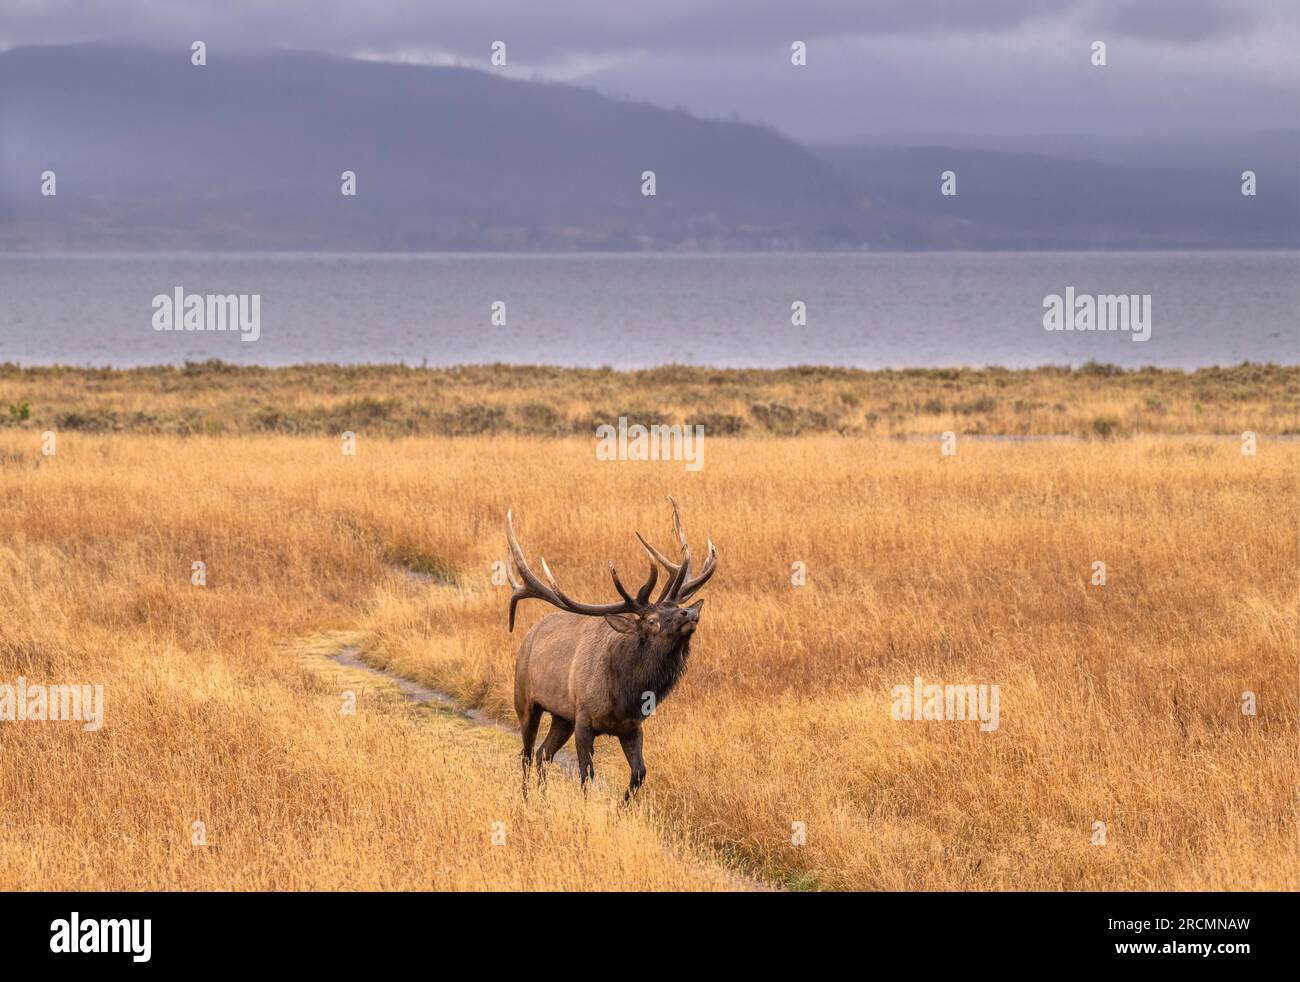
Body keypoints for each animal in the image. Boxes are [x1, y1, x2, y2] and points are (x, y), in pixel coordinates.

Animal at [501, 494, 717, 801]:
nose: (689, 613)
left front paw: (622, 806)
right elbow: (586, 775)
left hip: (561, 716)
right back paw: (526, 799)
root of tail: (528, 634)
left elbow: (639, 774)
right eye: (651, 620)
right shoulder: (584, 719)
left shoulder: (631, 727)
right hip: (525, 700)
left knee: (543, 754)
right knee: (527, 755)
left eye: (675, 606)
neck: (625, 694)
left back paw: (542, 799)